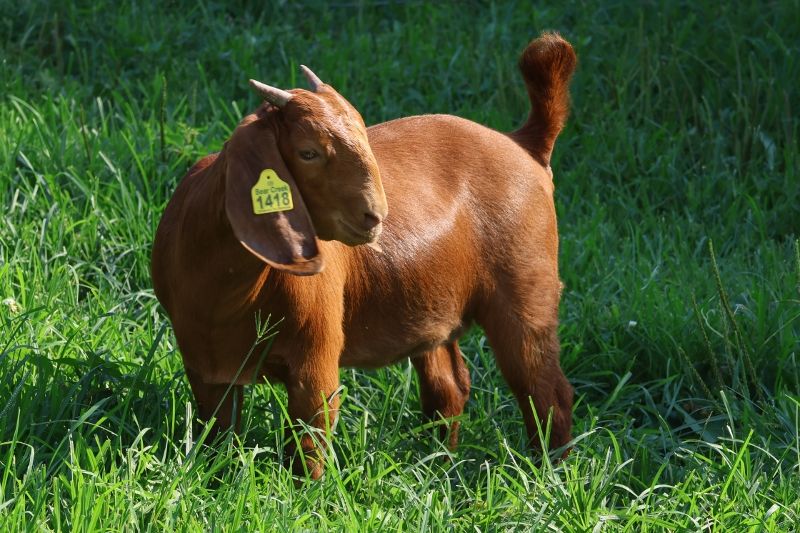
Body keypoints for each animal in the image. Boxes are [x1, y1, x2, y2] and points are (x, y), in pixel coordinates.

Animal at [152, 32, 577, 479]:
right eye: (308, 152)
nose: (376, 215)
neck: (225, 292)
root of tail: (523, 144)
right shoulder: (205, 366)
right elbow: (217, 437)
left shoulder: (315, 358)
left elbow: (308, 444)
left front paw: (305, 492)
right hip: (433, 305)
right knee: (449, 387)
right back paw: (436, 465)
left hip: (527, 290)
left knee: (546, 392)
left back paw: (550, 475)